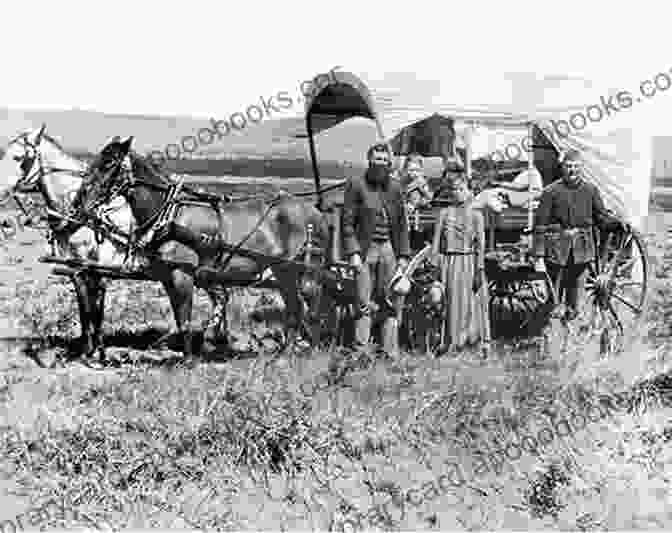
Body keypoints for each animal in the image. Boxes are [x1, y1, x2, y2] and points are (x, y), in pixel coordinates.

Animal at [77, 137, 330, 362]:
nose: (82, 198)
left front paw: (190, 360)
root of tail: (315, 213)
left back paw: (314, 351)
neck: (169, 215)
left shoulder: (183, 275)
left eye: (109, 163)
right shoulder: (168, 277)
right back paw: (285, 354)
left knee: (313, 306)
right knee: (295, 308)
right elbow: (180, 318)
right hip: (283, 272)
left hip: (307, 270)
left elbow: (185, 319)